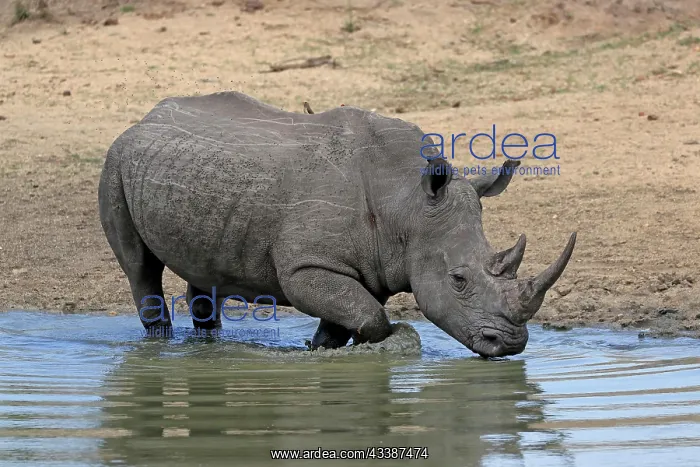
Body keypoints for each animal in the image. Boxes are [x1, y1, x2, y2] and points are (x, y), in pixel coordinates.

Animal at [98, 91, 576, 358]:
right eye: (458, 280)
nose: (510, 345)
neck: (406, 204)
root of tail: (146, 117)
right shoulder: (307, 265)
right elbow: (369, 316)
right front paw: (378, 345)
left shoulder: (369, 264)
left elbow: (351, 315)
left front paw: (317, 349)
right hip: (116, 159)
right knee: (139, 266)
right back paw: (160, 343)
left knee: (204, 268)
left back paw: (208, 346)